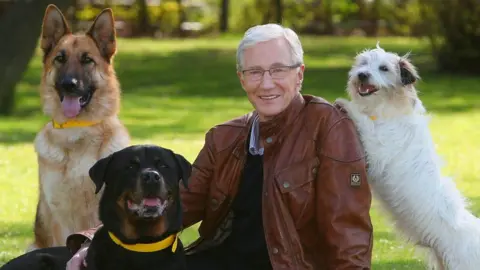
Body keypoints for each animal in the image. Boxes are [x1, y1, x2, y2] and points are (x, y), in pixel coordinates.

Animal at [336, 43, 480, 268]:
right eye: (363, 63)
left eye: (384, 68)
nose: (362, 75)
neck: (387, 108)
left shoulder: (377, 150)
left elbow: (364, 123)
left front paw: (346, 104)